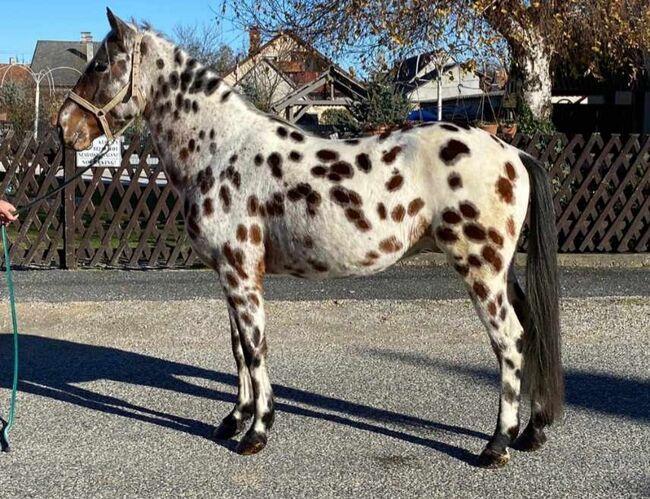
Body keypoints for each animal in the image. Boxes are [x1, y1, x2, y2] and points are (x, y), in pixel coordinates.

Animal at [57, 8, 560, 468]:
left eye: (100, 65)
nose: (65, 125)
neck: (221, 150)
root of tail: (512, 151)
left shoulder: (241, 275)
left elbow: (256, 348)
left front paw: (256, 432)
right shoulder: (229, 275)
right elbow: (238, 349)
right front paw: (234, 419)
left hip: (482, 270)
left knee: (510, 340)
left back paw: (496, 444)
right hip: (503, 271)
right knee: (532, 330)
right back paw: (532, 432)